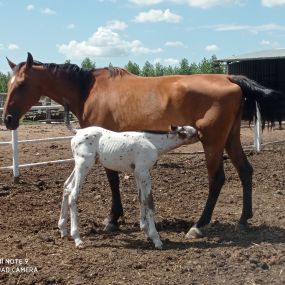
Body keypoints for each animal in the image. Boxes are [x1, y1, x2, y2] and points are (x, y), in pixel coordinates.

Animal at [58, 125, 197, 247]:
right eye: (194, 133)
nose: (201, 134)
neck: (152, 142)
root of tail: (78, 131)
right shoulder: (144, 172)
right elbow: (149, 202)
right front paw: (156, 238)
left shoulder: (138, 173)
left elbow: (141, 199)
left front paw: (145, 230)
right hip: (84, 165)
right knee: (73, 195)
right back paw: (77, 239)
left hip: (78, 166)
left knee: (67, 186)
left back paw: (63, 229)